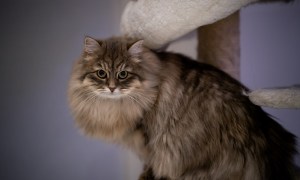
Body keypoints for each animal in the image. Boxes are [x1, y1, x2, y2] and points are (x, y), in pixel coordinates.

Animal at [68, 36, 298, 180]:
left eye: (123, 74)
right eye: (101, 73)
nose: (112, 87)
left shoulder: (149, 142)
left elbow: (150, 164)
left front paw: (146, 176)